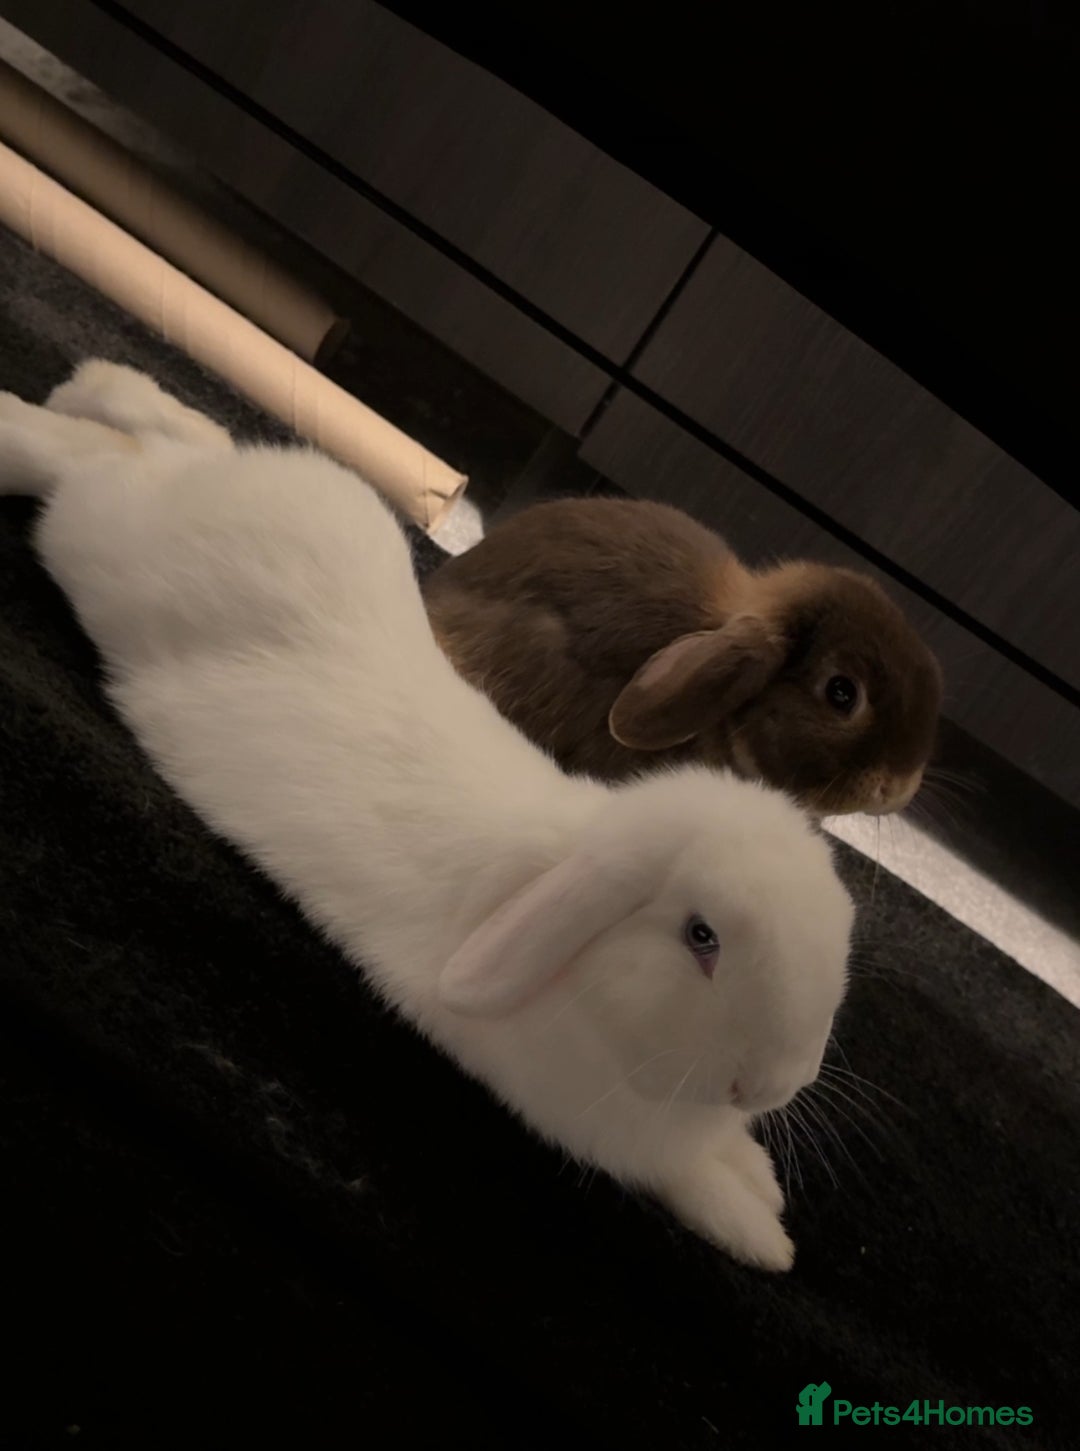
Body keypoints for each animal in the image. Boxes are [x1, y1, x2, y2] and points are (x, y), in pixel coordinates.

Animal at [0, 361, 855, 1272]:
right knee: (79, 466)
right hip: (103, 544)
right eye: (702, 937)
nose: (772, 1083)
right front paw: (768, 1238)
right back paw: (25, 424)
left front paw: (761, 1176)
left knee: (160, 435)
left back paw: (98, 383)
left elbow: (726, 1152)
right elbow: (692, 1183)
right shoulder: (605, 1131)